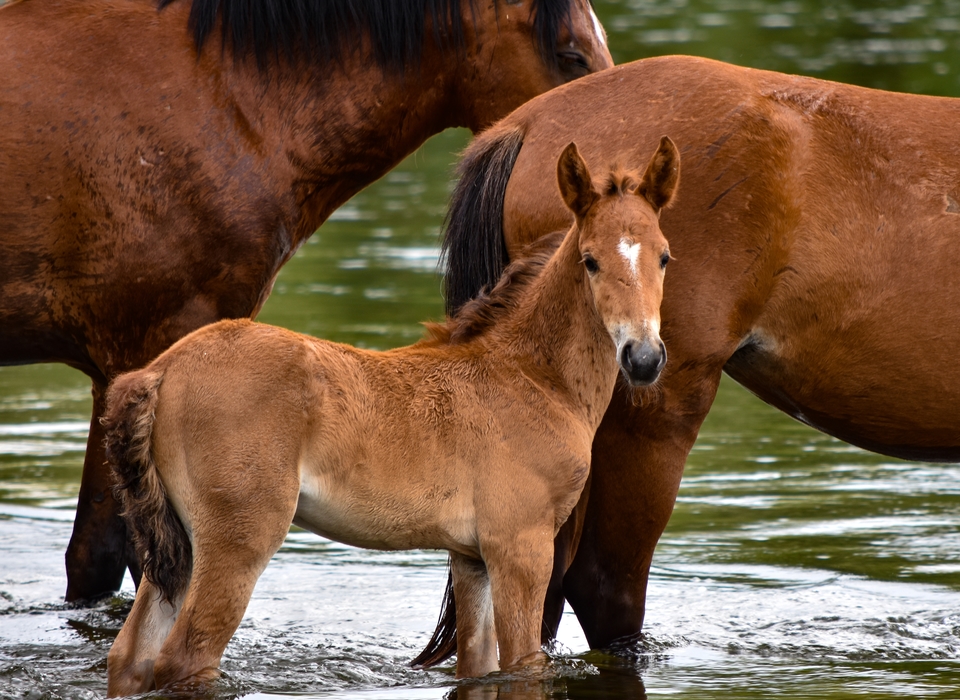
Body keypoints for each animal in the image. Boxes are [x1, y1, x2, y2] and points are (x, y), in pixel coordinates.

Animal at [101, 142, 680, 696]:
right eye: (590, 260)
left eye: (665, 257)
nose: (643, 358)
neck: (533, 376)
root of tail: (162, 369)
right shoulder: (521, 547)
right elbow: (522, 667)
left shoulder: (470, 558)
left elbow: (477, 666)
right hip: (236, 540)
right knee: (185, 659)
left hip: (177, 547)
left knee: (129, 658)